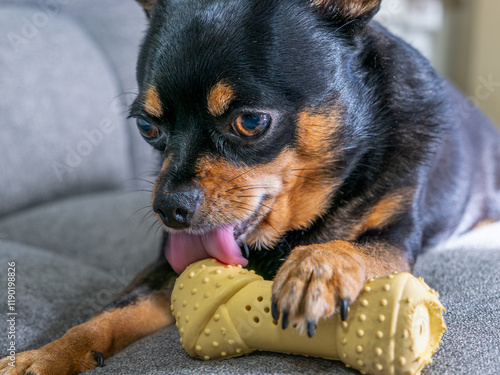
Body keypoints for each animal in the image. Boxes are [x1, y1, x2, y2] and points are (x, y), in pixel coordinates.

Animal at [0, 0, 500, 375]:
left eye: (252, 122)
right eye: (146, 127)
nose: (167, 208)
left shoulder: (396, 238)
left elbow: (358, 245)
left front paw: (319, 265)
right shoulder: (164, 268)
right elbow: (112, 312)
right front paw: (46, 355)